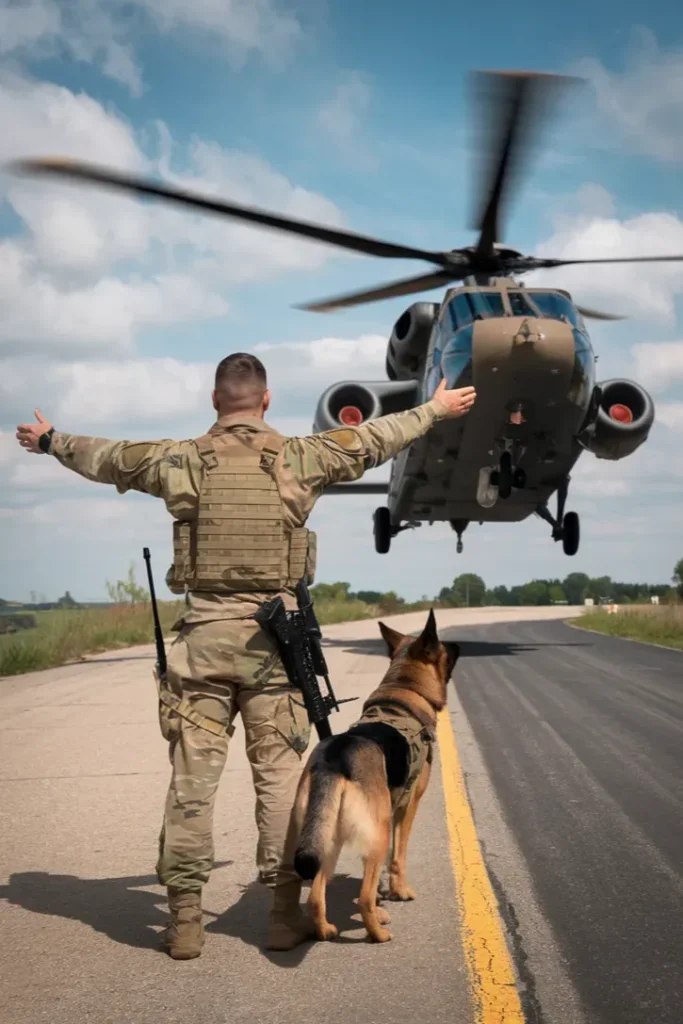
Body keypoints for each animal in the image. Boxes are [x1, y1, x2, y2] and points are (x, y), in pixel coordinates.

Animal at [284, 606, 458, 942]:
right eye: (445, 647)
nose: (459, 645)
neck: (404, 689)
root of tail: (334, 759)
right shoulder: (406, 809)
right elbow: (398, 857)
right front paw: (400, 892)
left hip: (328, 840)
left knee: (316, 895)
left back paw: (326, 930)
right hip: (376, 834)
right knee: (363, 896)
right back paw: (377, 932)